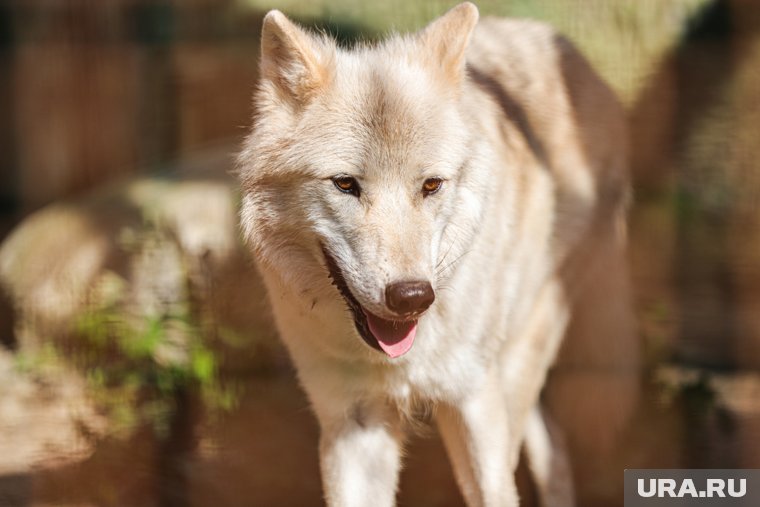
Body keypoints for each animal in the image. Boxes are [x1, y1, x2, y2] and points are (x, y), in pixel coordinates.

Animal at [240, 3, 640, 507]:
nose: (411, 296)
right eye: (345, 184)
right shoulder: (353, 423)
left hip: (513, 363)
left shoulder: (471, 402)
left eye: (431, 185)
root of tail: (567, 49)